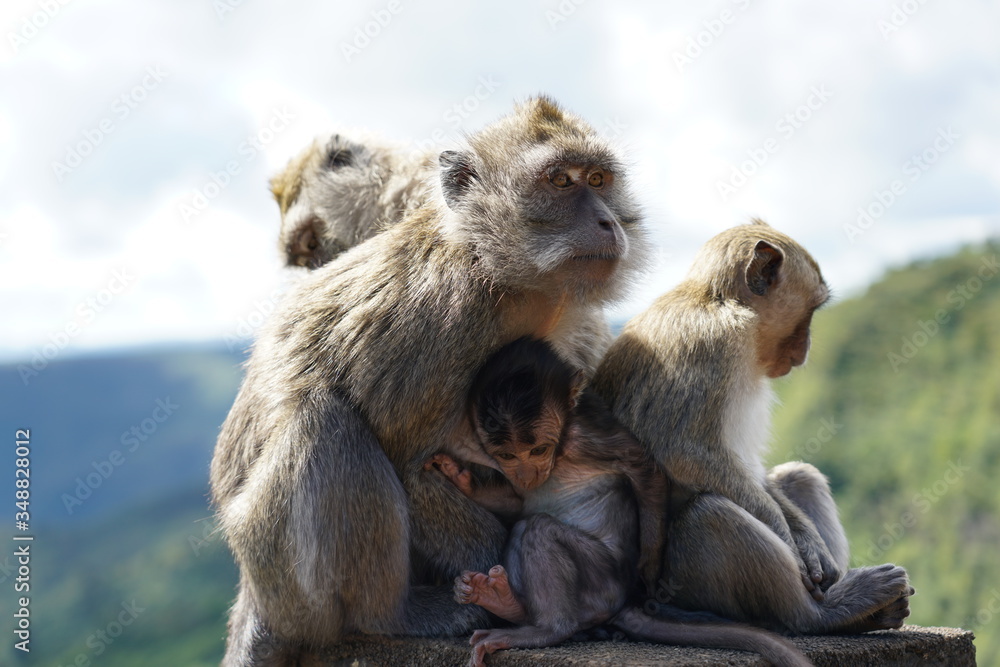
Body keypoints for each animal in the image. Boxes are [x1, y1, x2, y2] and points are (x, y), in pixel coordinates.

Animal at [429, 337, 813, 667]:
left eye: (537, 449)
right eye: (507, 455)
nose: (525, 472)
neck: (560, 447)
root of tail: (617, 605)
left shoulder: (585, 437)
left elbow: (644, 468)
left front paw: (649, 565)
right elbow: (516, 500)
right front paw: (461, 478)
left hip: (603, 581)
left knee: (537, 529)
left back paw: (548, 629)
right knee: (526, 526)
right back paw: (507, 603)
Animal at [590, 220, 914, 635]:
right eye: (811, 309)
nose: (805, 350)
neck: (715, 301)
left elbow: (754, 471)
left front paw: (808, 542)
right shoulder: (709, 345)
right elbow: (684, 452)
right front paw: (791, 544)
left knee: (798, 477)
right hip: (685, 587)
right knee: (712, 512)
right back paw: (820, 614)